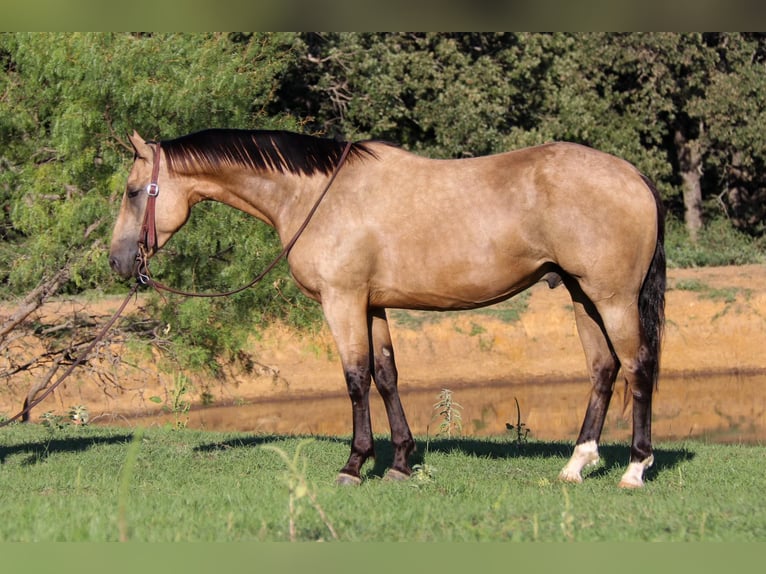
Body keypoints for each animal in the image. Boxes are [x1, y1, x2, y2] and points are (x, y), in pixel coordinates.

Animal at [108, 129, 664, 490]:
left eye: (134, 192)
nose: (116, 261)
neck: (317, 195)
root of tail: (633, 173)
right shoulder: (372, 305)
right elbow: (386, 375)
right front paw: (399, 463)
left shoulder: (343, 300)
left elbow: (356, 378)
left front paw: (354, 465)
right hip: (582, 296)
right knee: (603, 369)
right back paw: (577, 465)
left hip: (612, 298)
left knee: (637, 368)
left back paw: (635, 469)